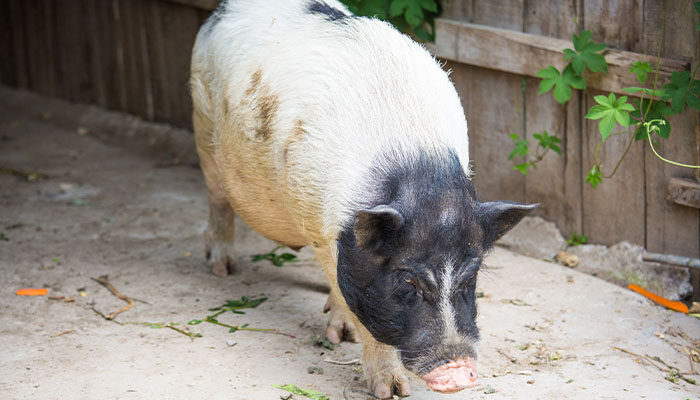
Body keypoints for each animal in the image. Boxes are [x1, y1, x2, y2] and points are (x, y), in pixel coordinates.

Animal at [189, 0, 532, 396]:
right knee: (217, 199)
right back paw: (223, 268)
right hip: (203, 125)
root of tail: (225, 10)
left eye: (469, 278)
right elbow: (359, 305)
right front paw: (390, 391)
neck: (420, 169)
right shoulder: (326, 232)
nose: (459, 373)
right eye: (408, 281)